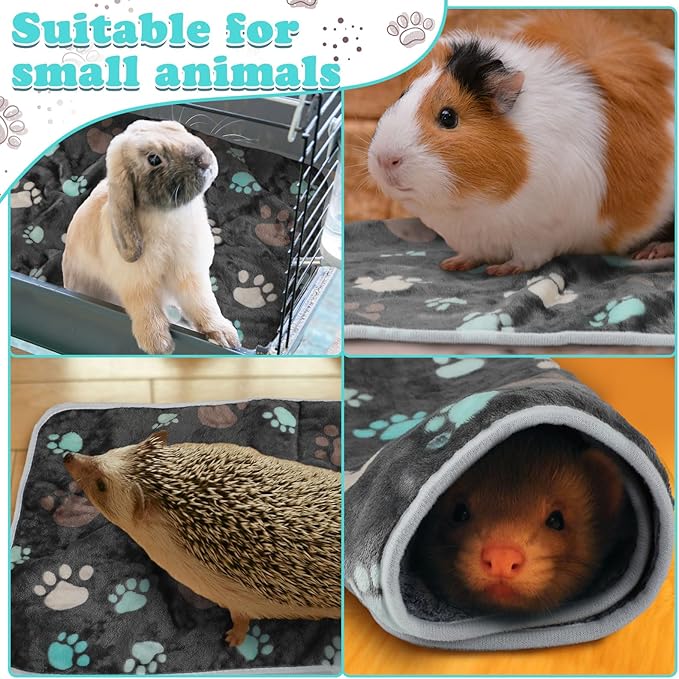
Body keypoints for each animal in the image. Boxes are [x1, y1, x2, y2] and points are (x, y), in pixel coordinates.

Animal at [368, 11, 675, 275]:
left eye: (448, 117)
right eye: (403, 95)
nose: (385, 159)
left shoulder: (540, 232)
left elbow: (528, 258)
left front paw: (501, 270)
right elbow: (472, 253)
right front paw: (453, 264)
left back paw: (651, 252)